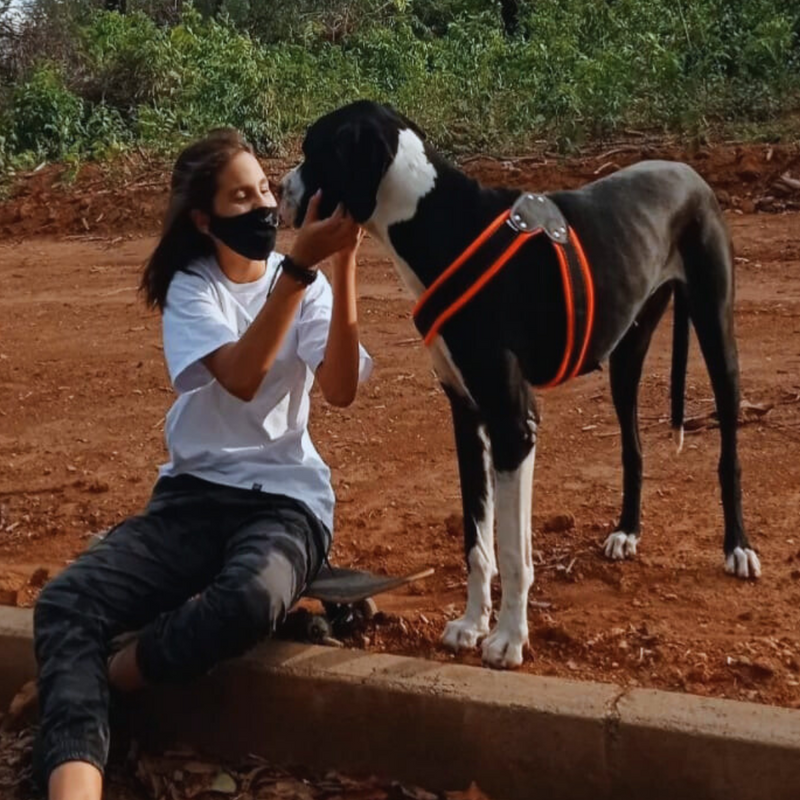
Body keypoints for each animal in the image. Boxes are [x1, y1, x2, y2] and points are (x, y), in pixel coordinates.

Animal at [278, 103, 760, 672]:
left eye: (315, 150)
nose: (279, 190)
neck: (440, 222)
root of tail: (689, 172)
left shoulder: (514, 424)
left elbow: (511, 549)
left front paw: (508, 639)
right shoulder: (467, 416)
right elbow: (476, 541)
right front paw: (471, 624)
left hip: (716, 331)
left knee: (729, 451)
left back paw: (737, 547)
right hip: (626, 354)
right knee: (633, 448)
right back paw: (627, 531)